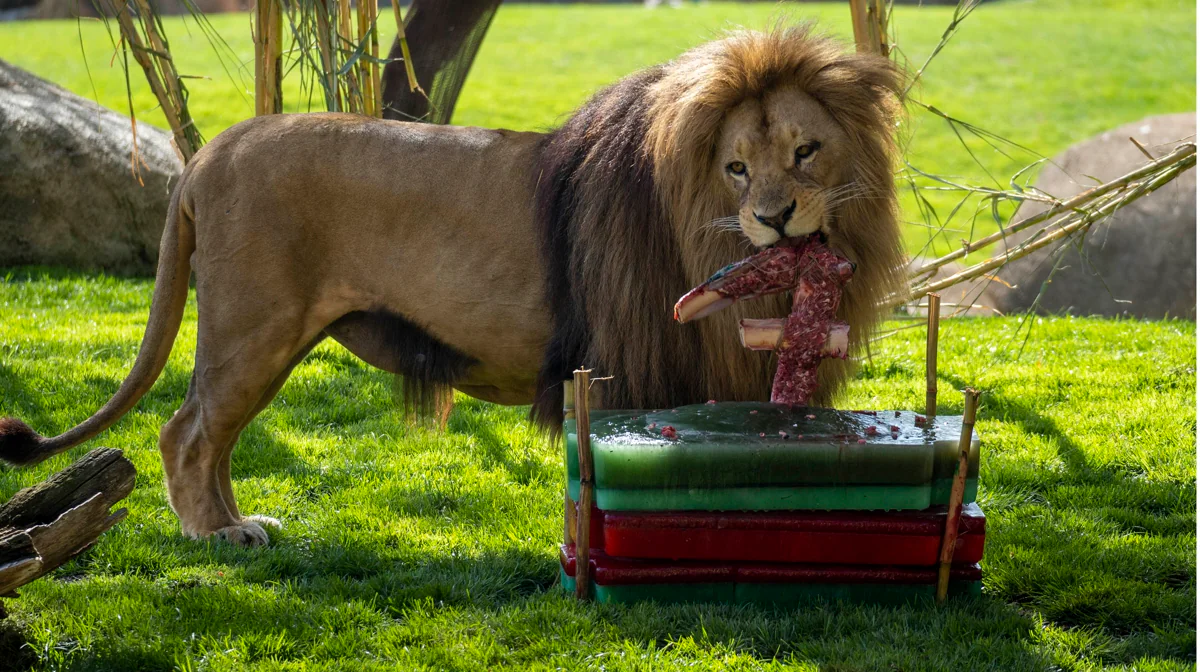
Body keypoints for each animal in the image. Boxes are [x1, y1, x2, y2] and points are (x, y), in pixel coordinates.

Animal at [0, 24, 902, 547]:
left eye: (806, 152)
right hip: (253, 324)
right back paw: (213, 538)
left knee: (212, 436)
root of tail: (215, 148)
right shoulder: (630, 366)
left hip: (268, 337)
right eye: (736, 166)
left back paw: (238, 522)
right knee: (185, 432)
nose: (776, 219)